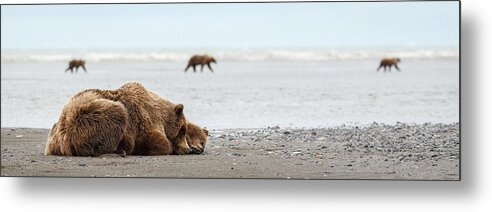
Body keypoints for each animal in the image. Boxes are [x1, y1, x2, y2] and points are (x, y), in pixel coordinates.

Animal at [44, 82, 206, 157]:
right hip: (88, 116)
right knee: (118, 112)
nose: (188, 149)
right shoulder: (143, 121)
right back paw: (118, 151)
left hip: (56, 132)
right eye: (182, 131)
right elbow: (158, 141)